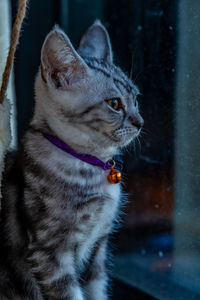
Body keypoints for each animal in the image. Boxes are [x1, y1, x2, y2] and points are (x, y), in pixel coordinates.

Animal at [0, 19, 144, 298]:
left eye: (136, 99)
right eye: (114, 103)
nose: (140, 122)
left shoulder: (97, 249)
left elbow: (96, 289)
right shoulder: (49, 252)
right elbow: (69, 293)